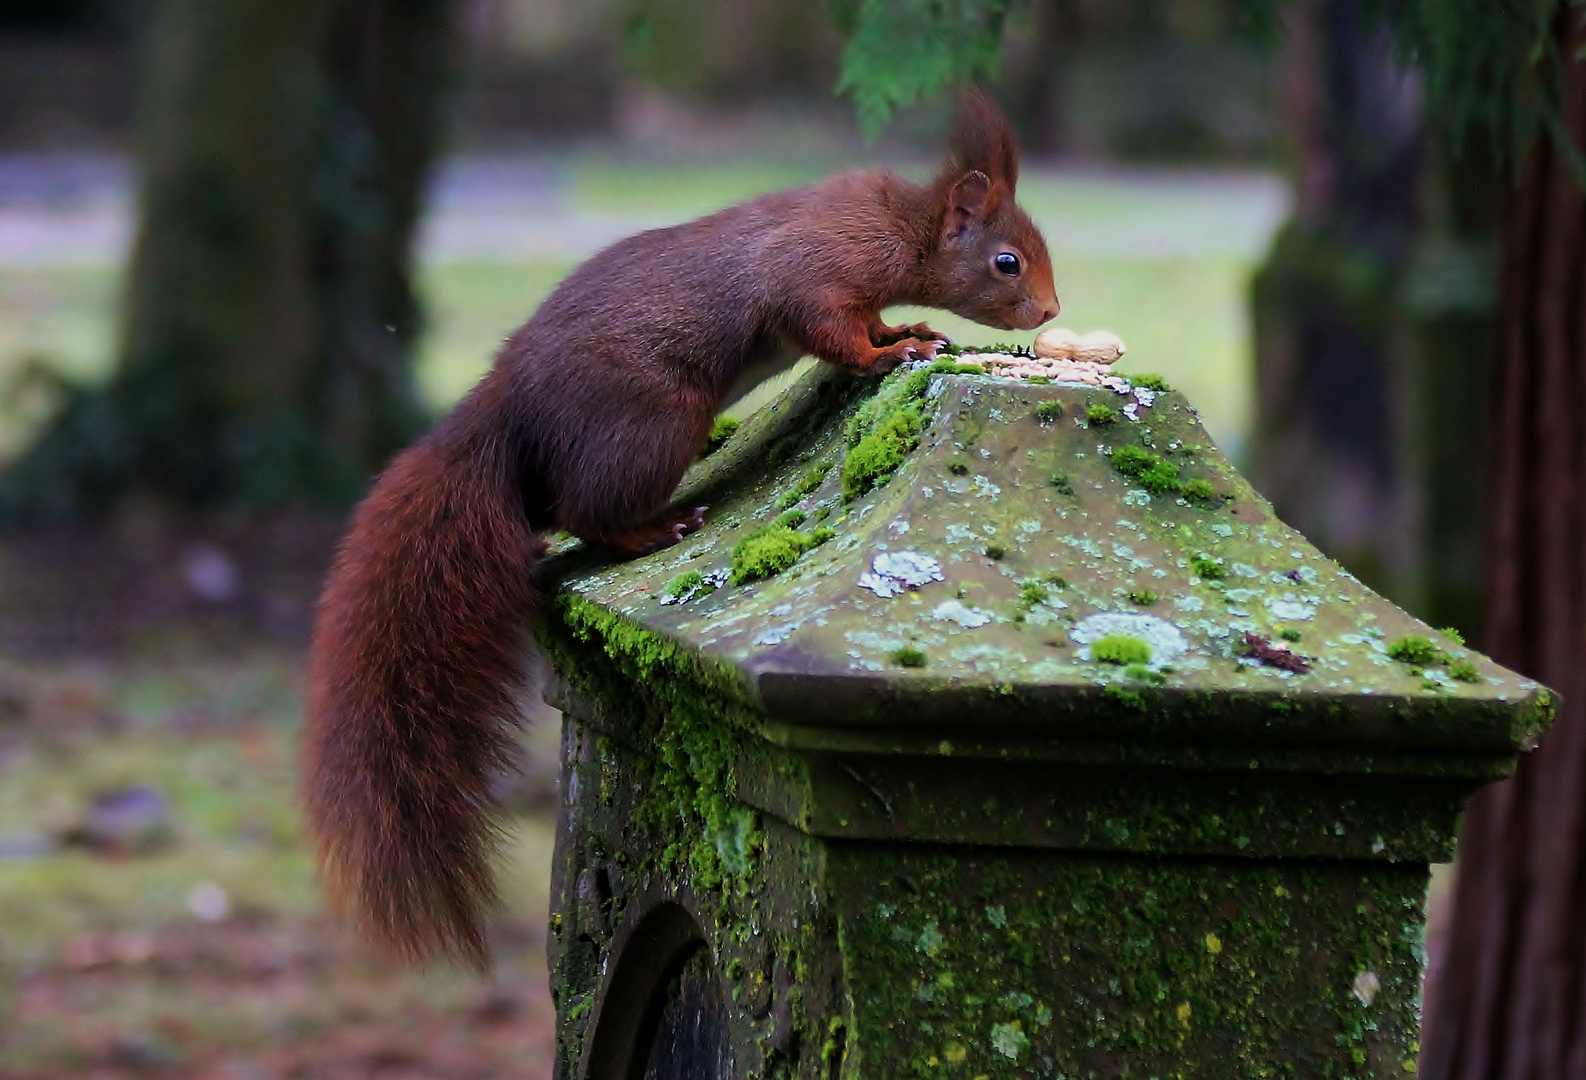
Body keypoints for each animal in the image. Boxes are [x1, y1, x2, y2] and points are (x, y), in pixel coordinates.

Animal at [302, 88, 1059, 957]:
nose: (1051, 309)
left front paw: (907, 332)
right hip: (657, 421)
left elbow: (864, 324)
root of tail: (509, 409)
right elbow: (828, 325)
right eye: (1007, 263)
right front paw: (883, 355)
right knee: (582, 512)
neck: (903, 225)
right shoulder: (820, 268)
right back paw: (651, 531)